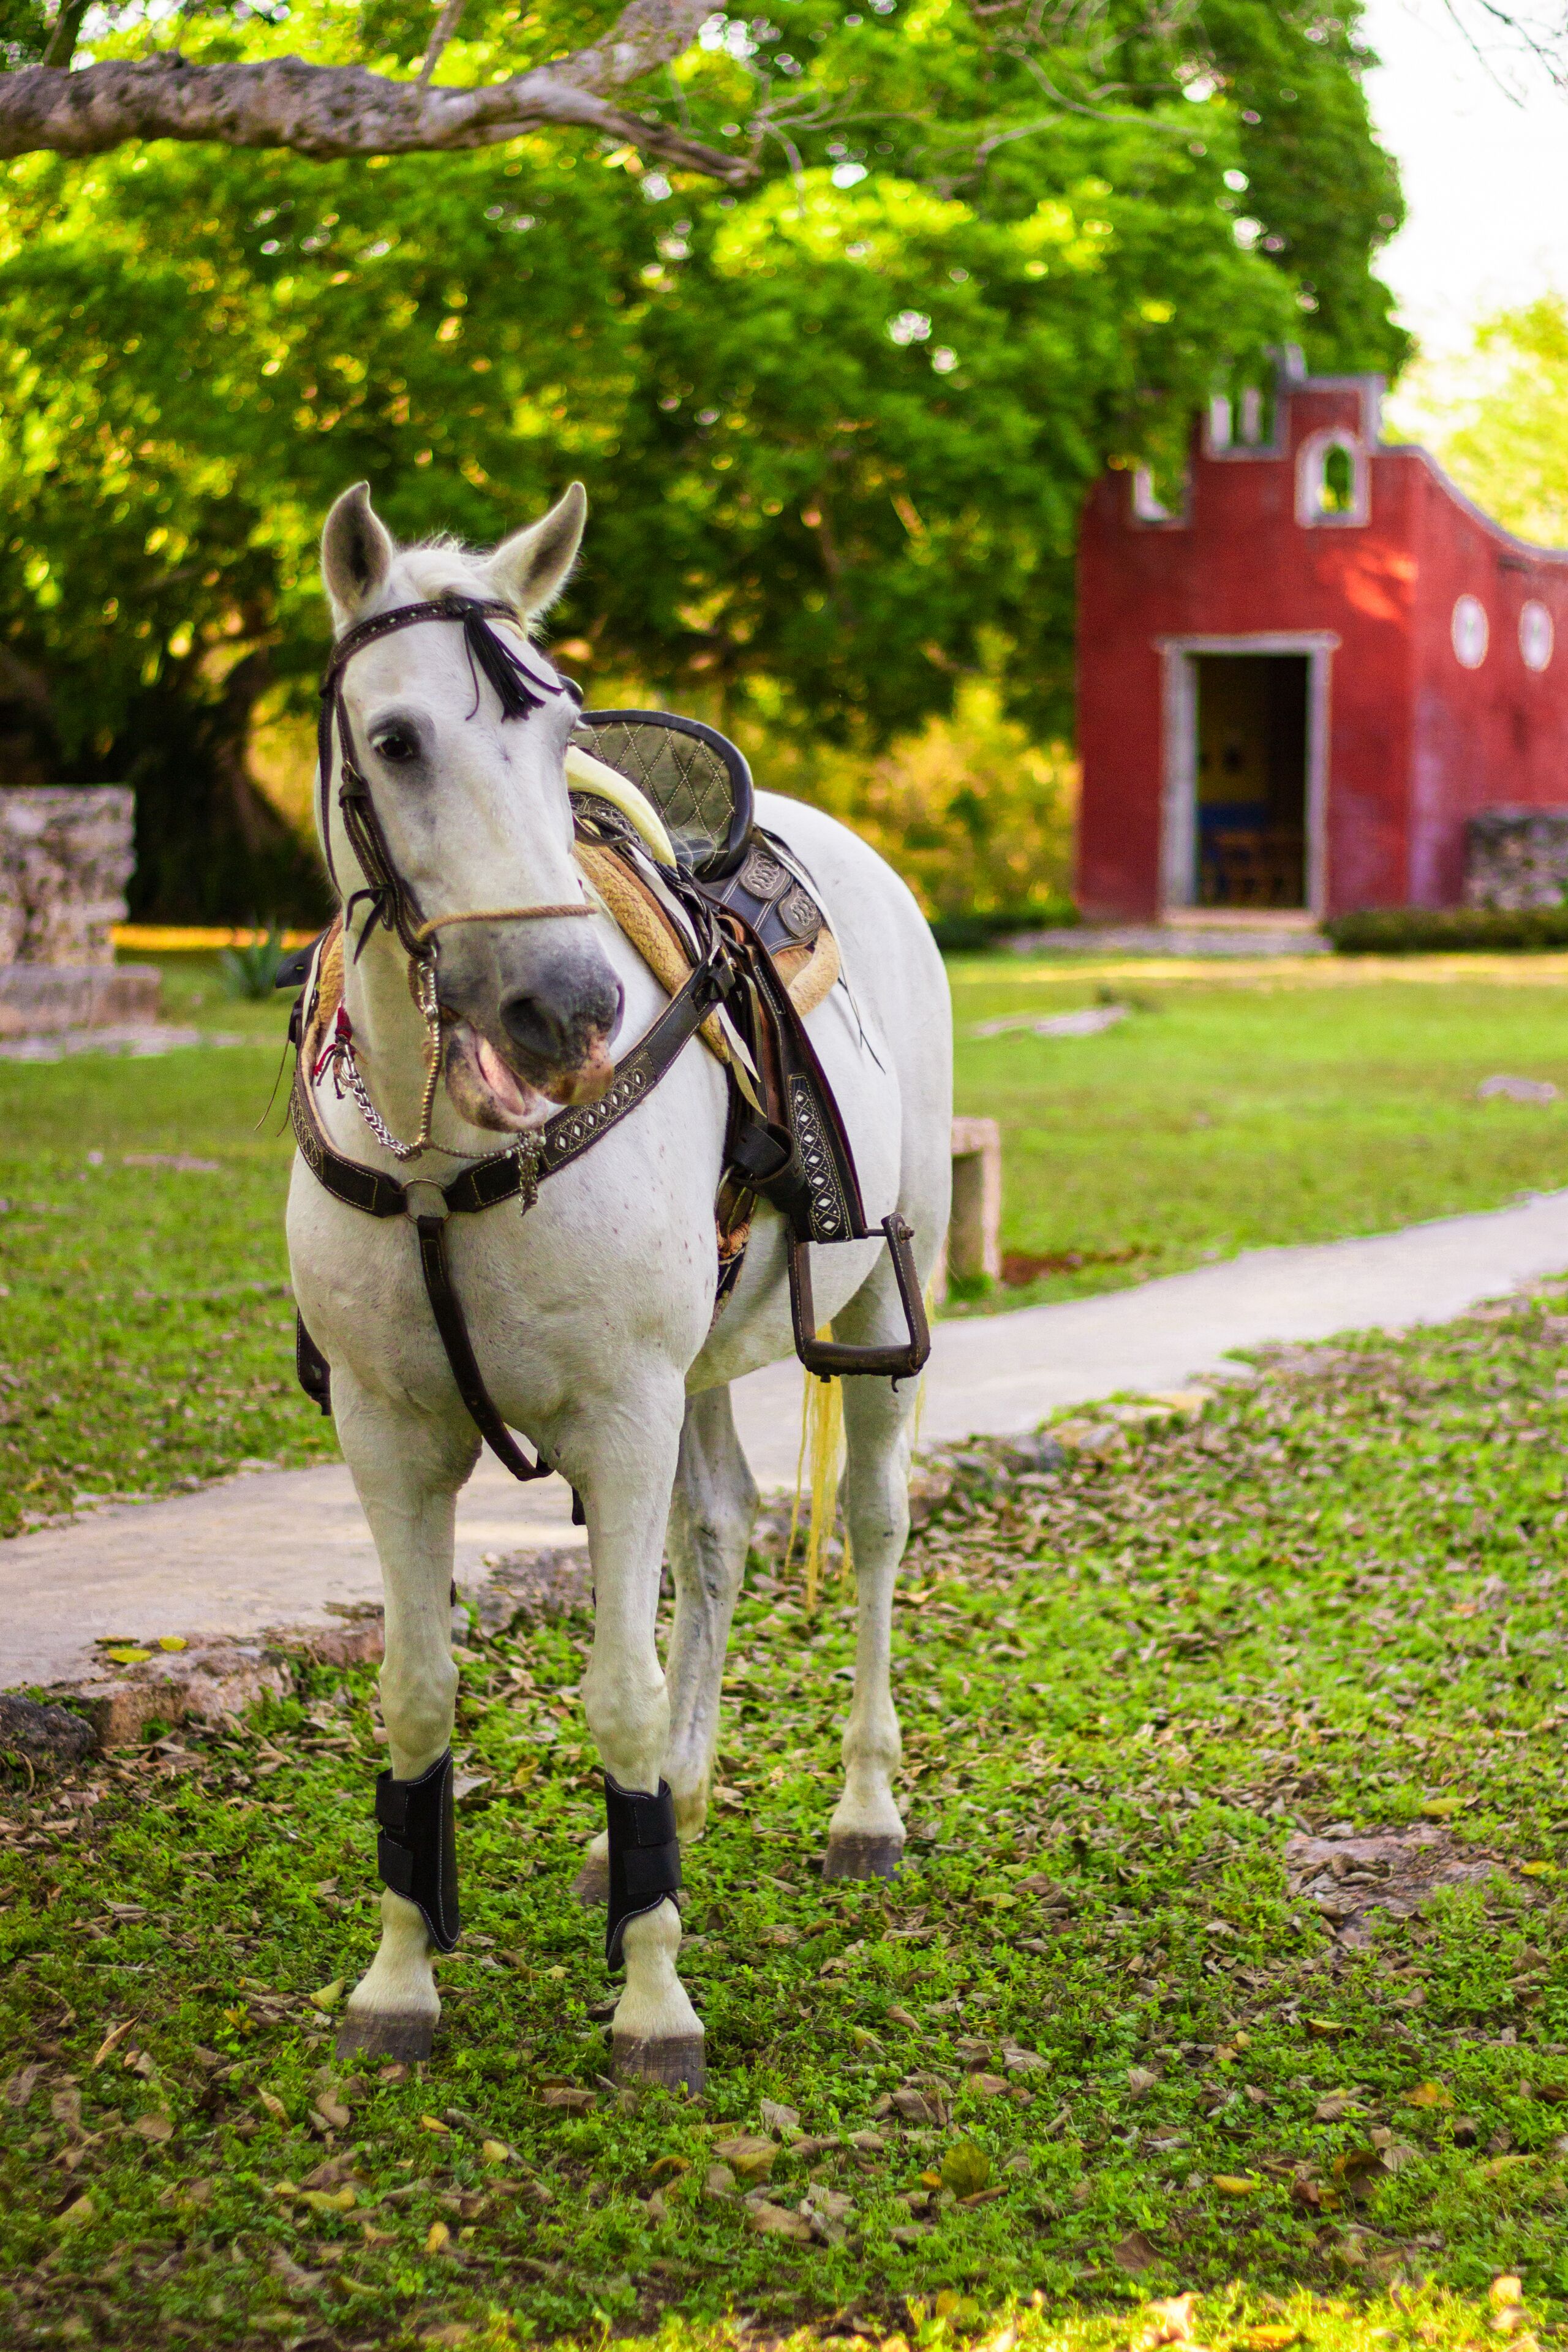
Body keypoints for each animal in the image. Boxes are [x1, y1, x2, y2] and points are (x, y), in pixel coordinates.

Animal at [286, 478, 953, 2090]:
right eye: (395, 739)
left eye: (558, 739)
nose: (566, 1008)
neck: (442, 1145)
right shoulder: (387, 1433)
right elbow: (414, 1692)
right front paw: (399, 1980)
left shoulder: (621, 1413)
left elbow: (619, 1694)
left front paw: (653, 2001)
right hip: (699, 1361)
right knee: (717, 1531)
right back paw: (683, 1811)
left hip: (875, 1304)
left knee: (871, 1525)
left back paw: (863, 1808)